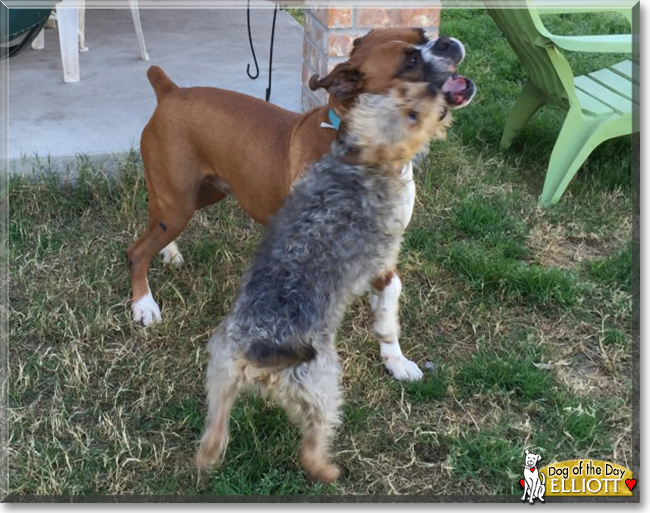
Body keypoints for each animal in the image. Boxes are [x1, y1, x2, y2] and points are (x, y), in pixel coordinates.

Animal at [126, 28, 474, 380]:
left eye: (424, 33)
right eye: (410, 63)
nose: (446, 42)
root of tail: (172, 92)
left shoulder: (383, 256)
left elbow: (388, 311)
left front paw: (396, 361)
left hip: (200, 194)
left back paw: (170, 253)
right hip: (177, 204)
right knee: (137, 251)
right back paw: (144, 305)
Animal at [195, 35, 474, 480]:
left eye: (422, 36)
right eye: (409, 64)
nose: (445, 42)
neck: (359, 163)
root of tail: (261, 353)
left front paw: (396, 359)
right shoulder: (383, 263)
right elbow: (389, 308)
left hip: (220, 371)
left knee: (214, 430)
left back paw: (208, 455)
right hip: (321, 385)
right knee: (313, 441)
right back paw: (326, 469)